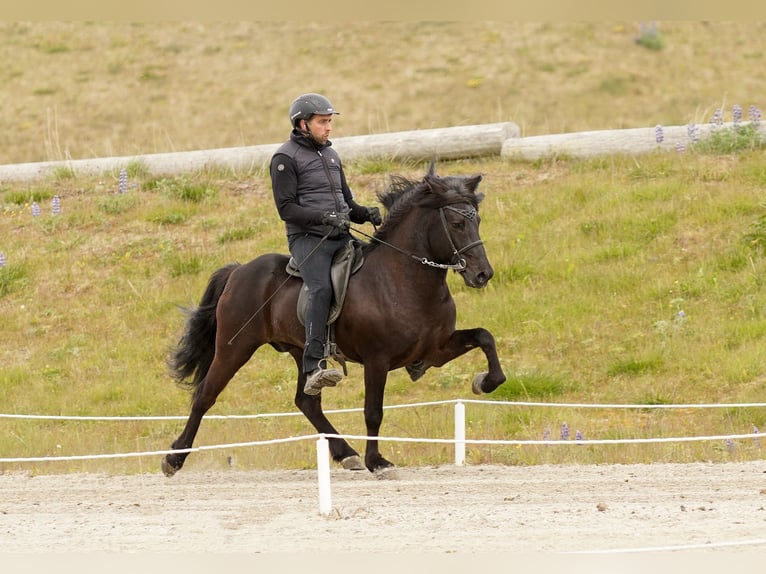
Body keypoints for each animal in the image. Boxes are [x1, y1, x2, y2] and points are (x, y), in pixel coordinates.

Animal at [161, 163, 507, 476]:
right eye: (456, 222)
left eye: (477, 220)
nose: (482, 274)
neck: (403, 279)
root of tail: (238, 270)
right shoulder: (377, 360)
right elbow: (373, 411)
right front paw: (378, 462)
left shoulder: (434, 350)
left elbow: (485, 337)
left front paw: (485, 382)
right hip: (235, 347)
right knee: (205, 395)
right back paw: (174, 458)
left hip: (301, 351)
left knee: (307, 402)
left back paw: (346, 454)